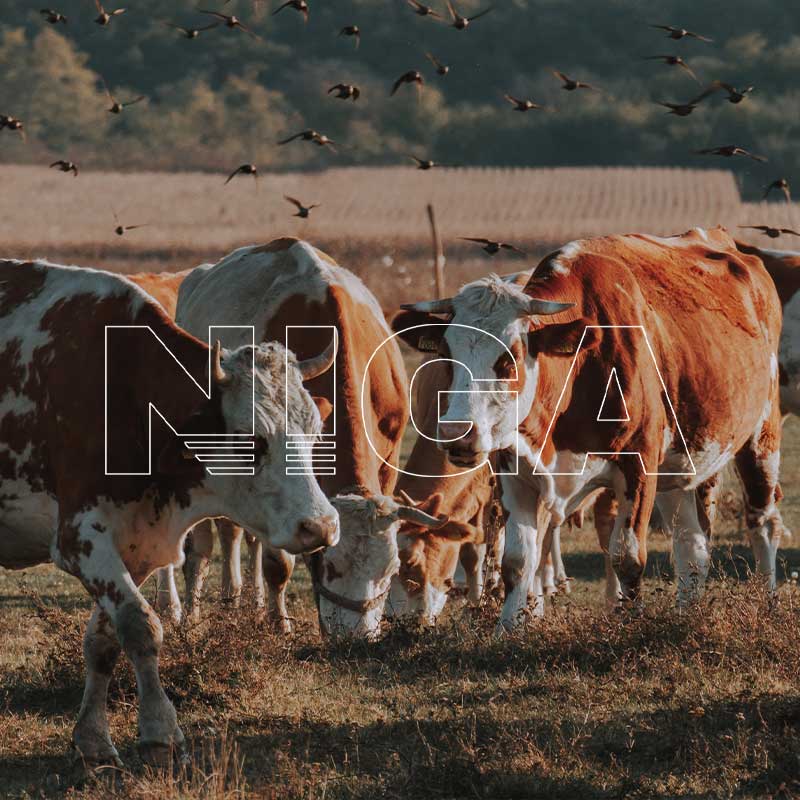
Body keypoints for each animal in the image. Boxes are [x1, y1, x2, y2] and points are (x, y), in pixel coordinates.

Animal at [0, 257, 340, 764]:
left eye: (316, 434)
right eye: (252, 439)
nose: (320, 525)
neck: (126, 395)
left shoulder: (136, 543)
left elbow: (104, 641)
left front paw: (93, 739)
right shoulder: (81, 540)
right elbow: (142, 627)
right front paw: (160, 731)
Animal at [172, 237, 448, 638]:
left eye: (390, 571)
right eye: (329, 565)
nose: (357, 639)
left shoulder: (390, 458)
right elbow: (278, 563)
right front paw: (280, 623)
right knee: (210, 543)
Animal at [395, 227, 783, 631]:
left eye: (510, 357)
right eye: (447, 355)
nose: (457, 432)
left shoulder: (637, 467)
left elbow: (627, 557)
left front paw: (630, 625)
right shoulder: (514, 472)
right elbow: (517, 561)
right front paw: (508, 629)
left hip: (762, 434)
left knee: (763, 520)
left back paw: (767, 601)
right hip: (680, 467)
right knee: (692, 547)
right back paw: (687, 613)